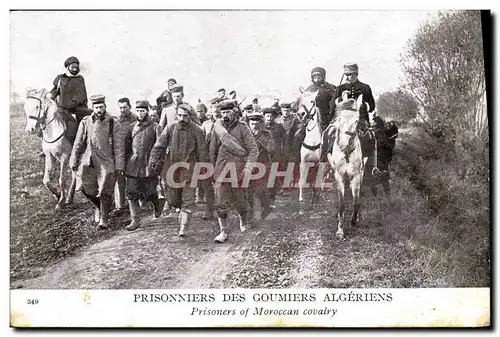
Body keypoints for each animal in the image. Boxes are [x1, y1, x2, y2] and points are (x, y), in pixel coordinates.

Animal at [326, 92, 374, 239]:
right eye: (339, 120)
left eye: (356, 121)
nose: (343, 144)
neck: (347, 152)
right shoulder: (339, 175)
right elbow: (341, 204)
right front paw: (340, 230)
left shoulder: (356, 175)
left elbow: (356, 201)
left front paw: (354, 220)